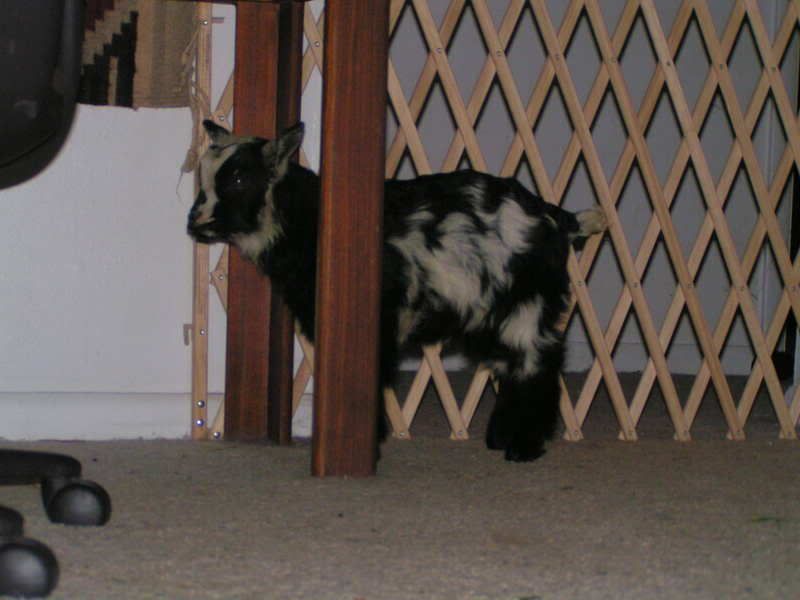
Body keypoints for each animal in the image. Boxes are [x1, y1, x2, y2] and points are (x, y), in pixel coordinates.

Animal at [187, 120, 606, 461]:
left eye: (239, 179)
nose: (194, 222)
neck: (308, 217)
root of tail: (552, 215)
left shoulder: (375, 317)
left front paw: (361, 438)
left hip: (524, 304)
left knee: (538, 363)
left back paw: (524, 446)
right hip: (490, 313)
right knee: (514, 364)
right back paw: (502, 436)